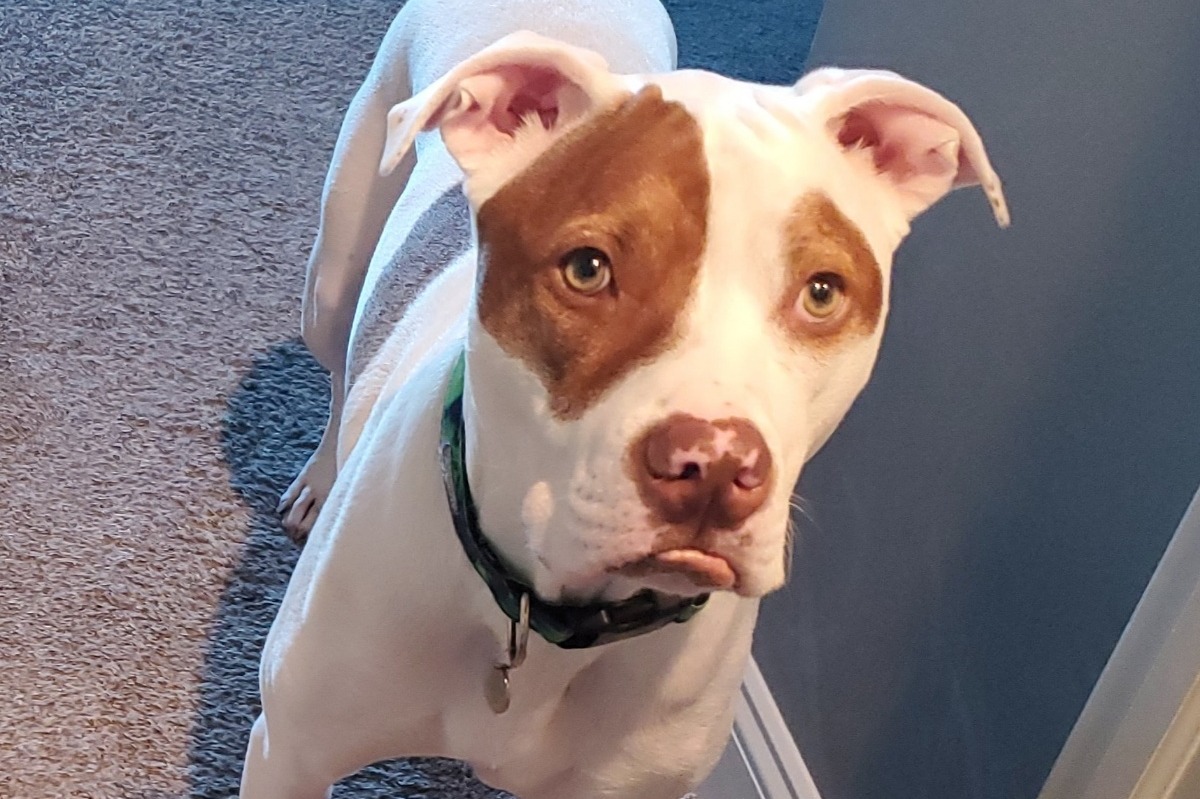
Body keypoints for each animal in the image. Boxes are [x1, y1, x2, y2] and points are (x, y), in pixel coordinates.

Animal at [250, 0, 1010, 797]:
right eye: (588, 268)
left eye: (823, 292)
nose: (714, 465)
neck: (546, 623)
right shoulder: (288, 751)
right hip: (333, 273)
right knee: (340, 361)